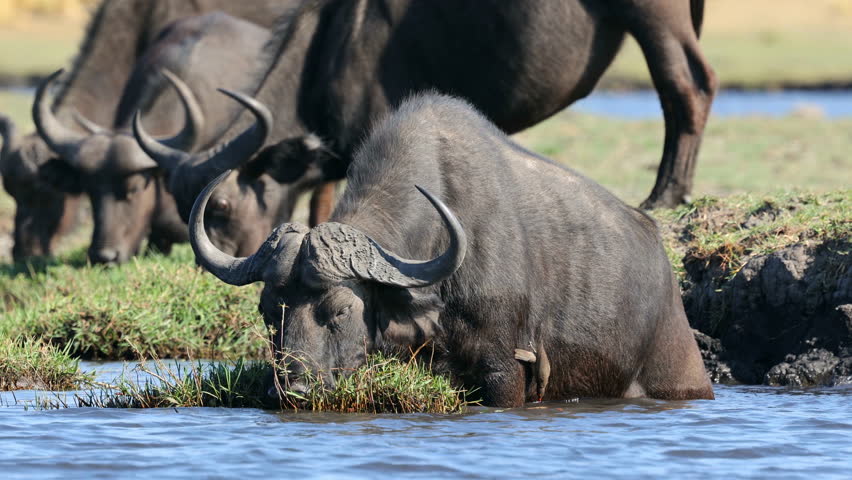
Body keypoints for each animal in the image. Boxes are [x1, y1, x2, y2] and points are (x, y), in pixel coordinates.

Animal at [136, 0, 717, 259]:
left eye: (222, 207)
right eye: (182, 204)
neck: (330, 47)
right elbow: (319, 196)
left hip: (655, 17)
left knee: (687, 85)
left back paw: (667, 192)